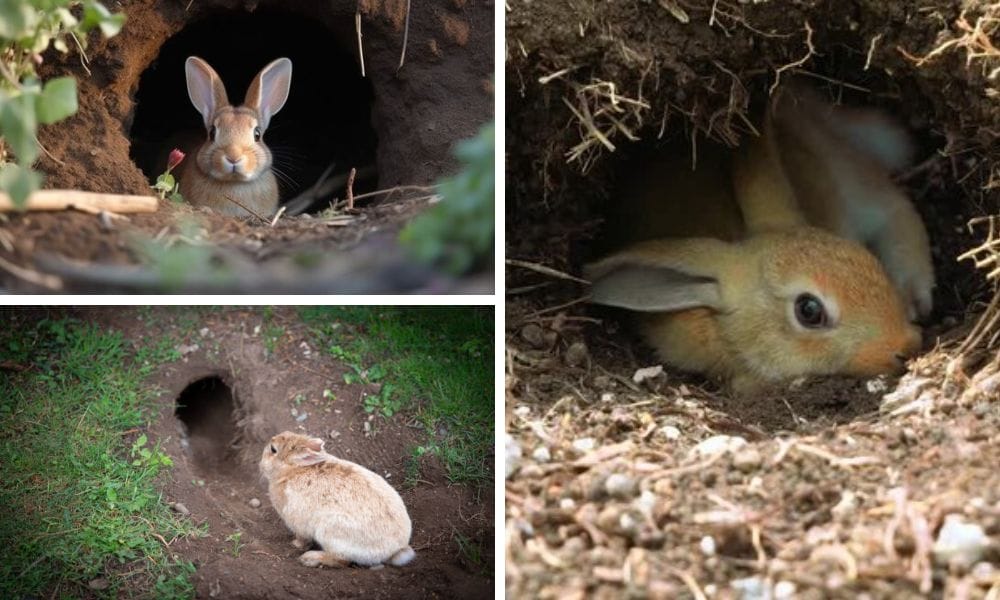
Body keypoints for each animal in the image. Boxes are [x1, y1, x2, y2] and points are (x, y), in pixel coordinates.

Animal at [259, 431, 416, 568]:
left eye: (273, 449)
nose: (261, 463)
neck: (291, 471)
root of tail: (396, 549)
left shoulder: (297, 522)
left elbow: (302, 538)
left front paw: (295, 544)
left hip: (330, 532)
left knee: (341, 560)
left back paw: (309, 558)